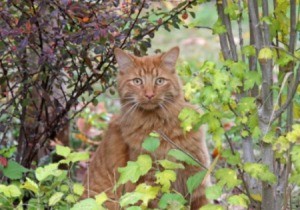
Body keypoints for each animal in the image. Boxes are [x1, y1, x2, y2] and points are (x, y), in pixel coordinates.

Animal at [81, 46, 210, 209]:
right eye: (137, 81)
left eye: (159, 81)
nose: (149, 94)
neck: (158, 126)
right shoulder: (152, 179)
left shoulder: (196, 174)